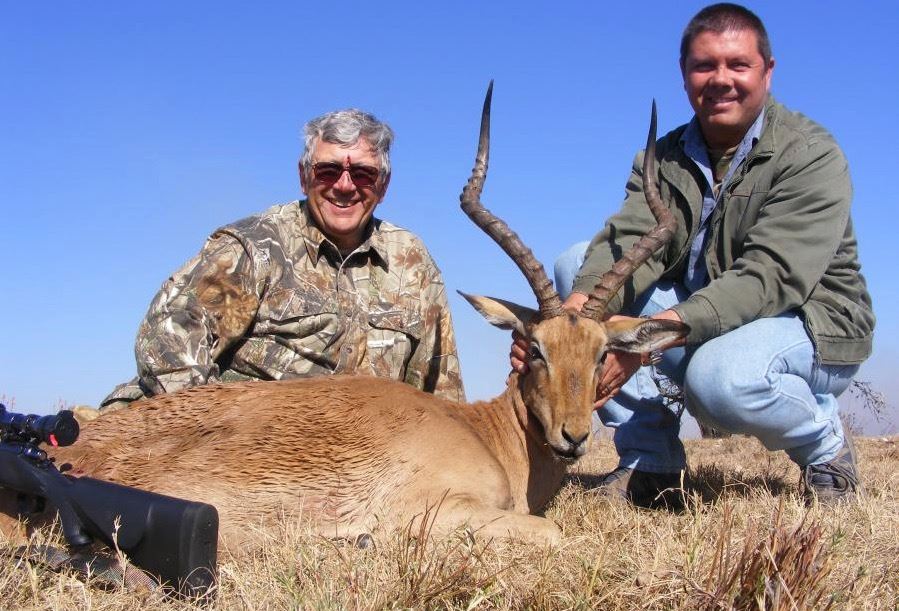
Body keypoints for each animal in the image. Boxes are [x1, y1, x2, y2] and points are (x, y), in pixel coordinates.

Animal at [0, 84, 687, 550]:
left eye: (601, 354)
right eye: (535, 347)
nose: (573, 435)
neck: (484, 435)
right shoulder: (436, 511)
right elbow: (555, 535)